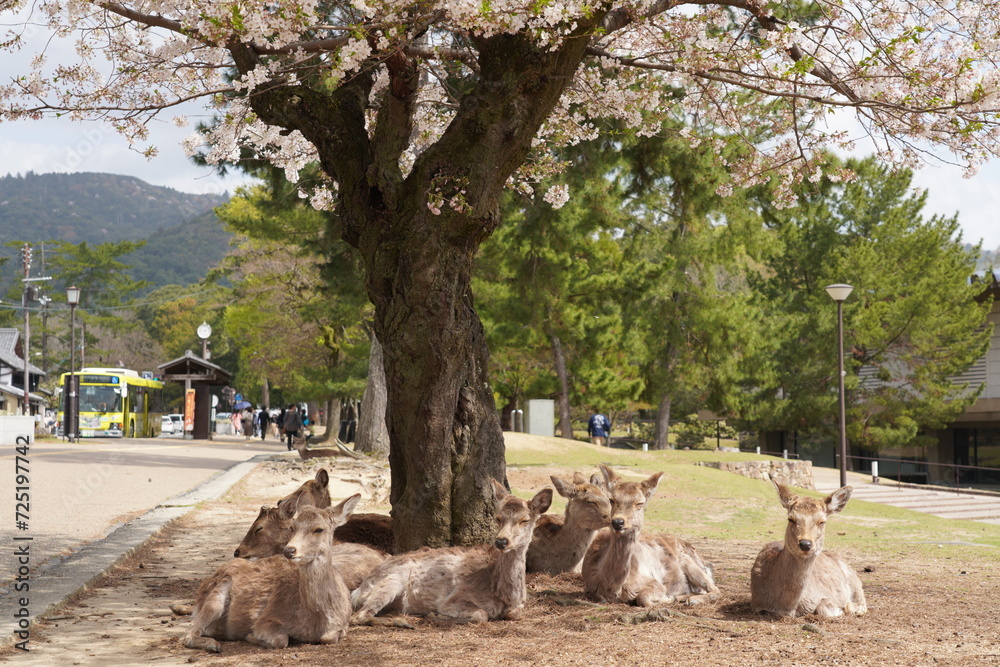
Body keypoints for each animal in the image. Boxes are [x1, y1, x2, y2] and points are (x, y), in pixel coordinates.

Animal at [181, 494, 359, 653]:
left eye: (319, 529)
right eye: (293, 527)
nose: (289, 550)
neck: (318, 619)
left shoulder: (343, 624)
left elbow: (329, 638)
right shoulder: (266, 620)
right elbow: (280, 640)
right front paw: (250, 636)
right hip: (215, 599)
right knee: (187, 635)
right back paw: (214, 645)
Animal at [351, 480, 552, 625]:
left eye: (525, 520)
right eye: (498, 518)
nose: (501, 541)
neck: (503, 594)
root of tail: (356, 591)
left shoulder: (519, 605)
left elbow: (515, 614)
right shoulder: (454, 599)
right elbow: (481, 614)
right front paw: (437, 615)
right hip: (391, 580)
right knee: (359, 617)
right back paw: (405, 622)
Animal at [581, 464, 718, 607]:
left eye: (640, 503)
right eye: (611, 500)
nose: (618, 522)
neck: (612, 587)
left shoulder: (654, 582)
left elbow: (643, 598)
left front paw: (667, 598)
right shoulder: (590, 586)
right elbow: (596, 595)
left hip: (689, 561)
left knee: (714, 588)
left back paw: (691, 599)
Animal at [750, 479, 867, 618]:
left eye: (822, 521)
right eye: (791, 518)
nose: (805, 543)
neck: (787, 607)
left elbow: (823, 607)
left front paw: (841, 609)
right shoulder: (756, 605)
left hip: (855, 582)